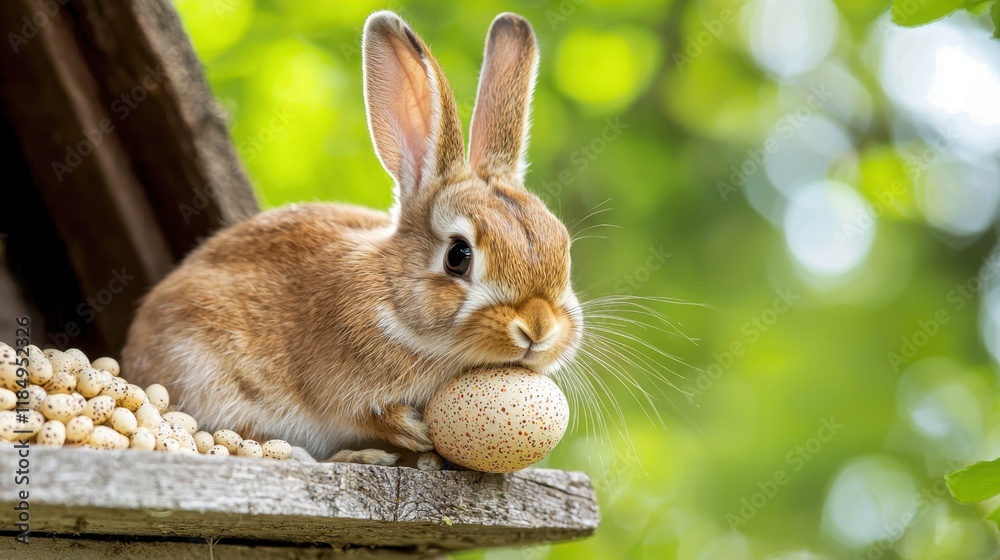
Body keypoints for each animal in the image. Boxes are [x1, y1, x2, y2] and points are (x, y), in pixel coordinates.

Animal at [122, 10, 583, 464]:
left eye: (564, 247)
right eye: (458, 255)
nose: (538, 328)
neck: (393, 300)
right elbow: (364, 412)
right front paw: (411, 431)